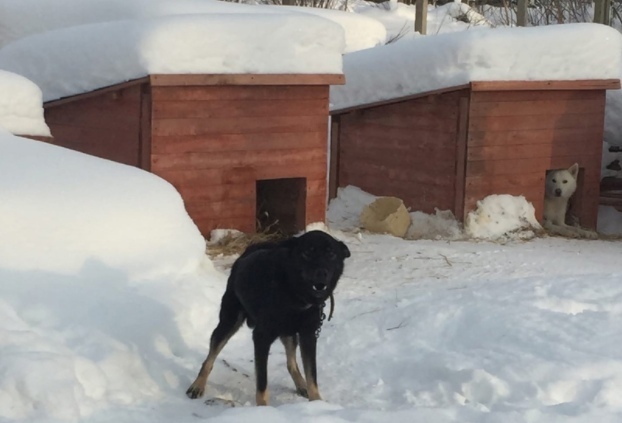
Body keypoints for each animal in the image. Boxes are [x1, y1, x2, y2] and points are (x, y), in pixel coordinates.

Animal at [186, 230, 351, 406]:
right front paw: (263, 408)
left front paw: (316, 403)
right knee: (210, 358)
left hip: (289, 333)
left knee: (291, 363)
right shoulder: (261, 337)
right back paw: (197, 385)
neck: (294, 295)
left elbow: (311, 374)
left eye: (331, 253)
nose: (321, 272)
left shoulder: (309, 336)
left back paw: (301, 384)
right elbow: (262, 381)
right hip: (229, 322)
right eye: (307, 252)